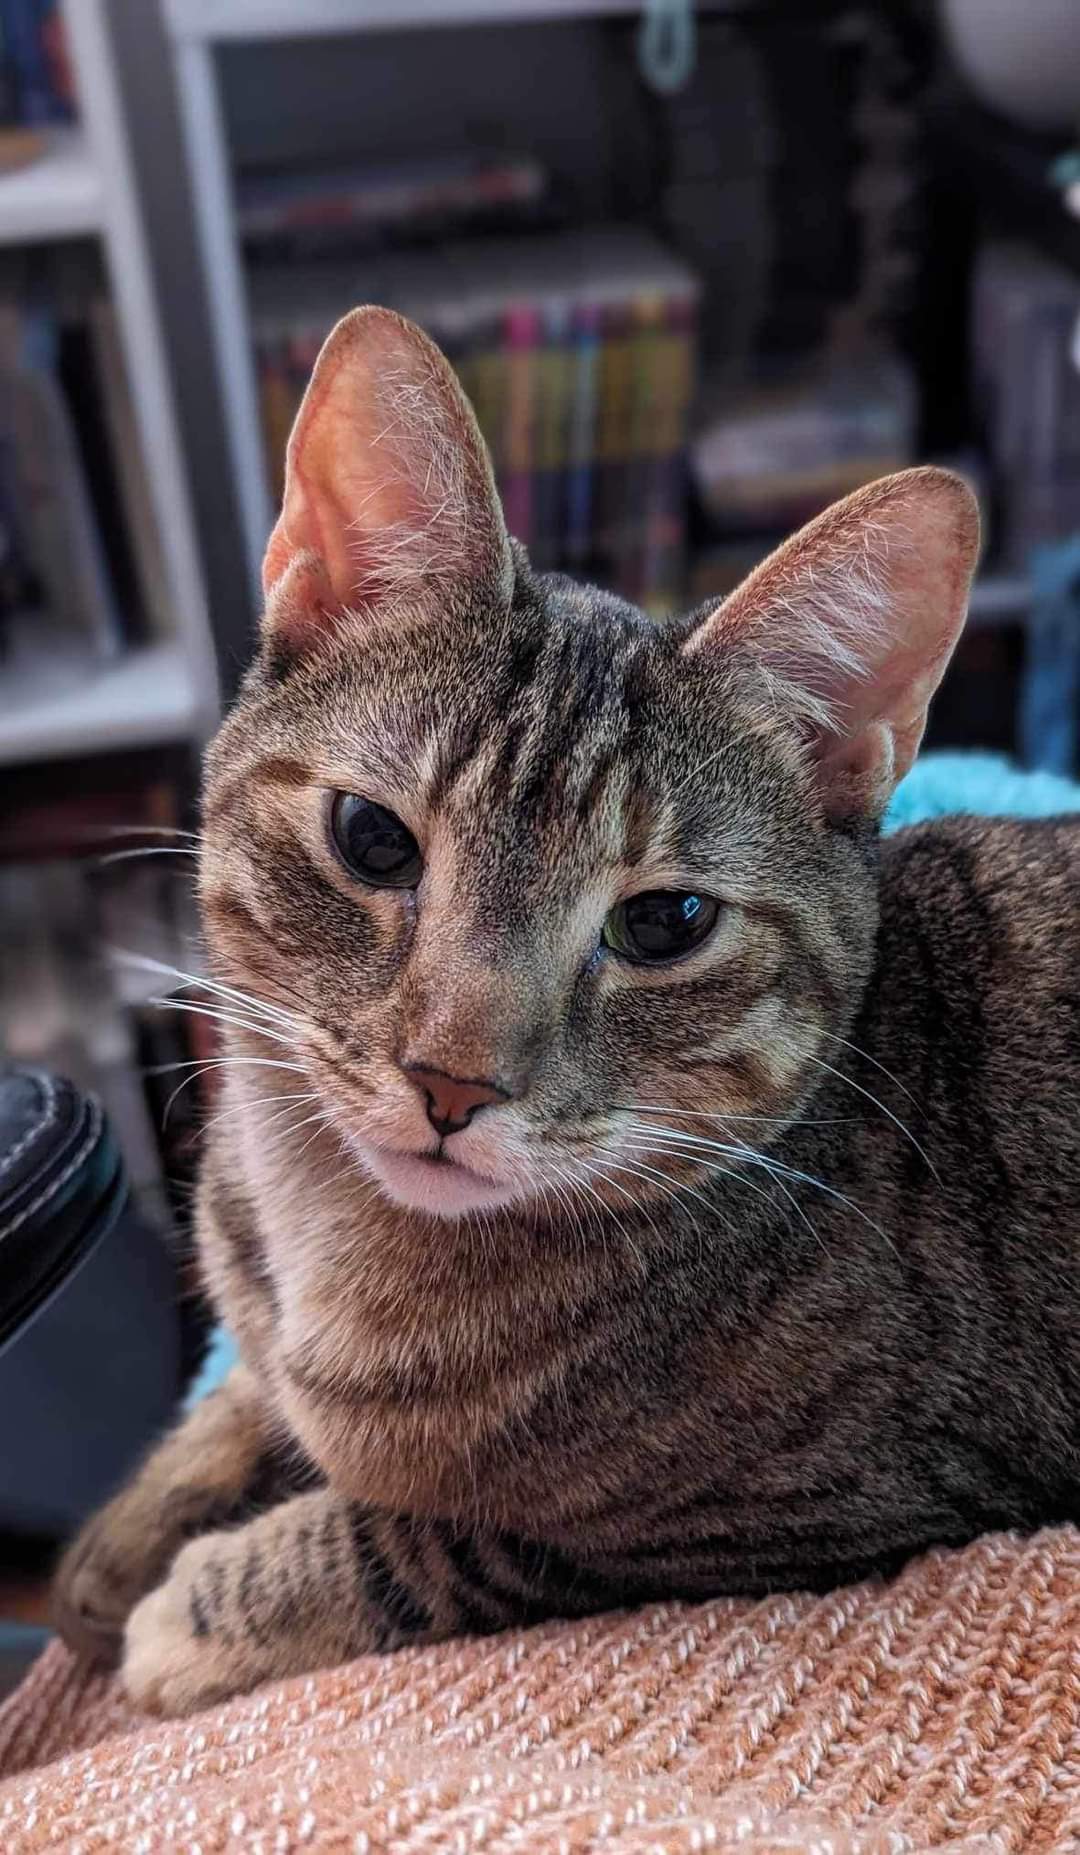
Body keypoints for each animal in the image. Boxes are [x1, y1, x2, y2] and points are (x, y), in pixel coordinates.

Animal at [54, 311, 1080, 1714]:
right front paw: (129, 1526)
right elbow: (238, 1400)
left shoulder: (797, 1512)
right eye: (371, 839)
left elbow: (423, 1540)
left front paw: (199, 1604)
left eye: (665, 923)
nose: (452, 1082)